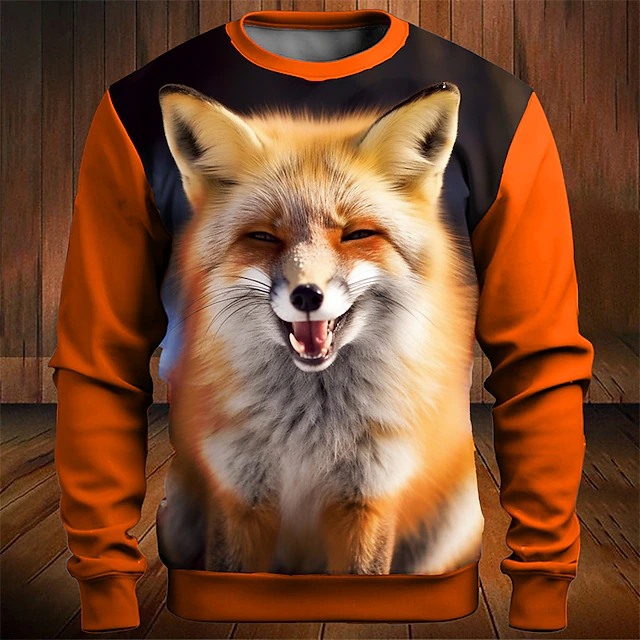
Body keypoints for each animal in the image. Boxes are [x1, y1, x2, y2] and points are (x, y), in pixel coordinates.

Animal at [154, 80, 484, 577]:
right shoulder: (239, 493)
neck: (310, 434)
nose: (307, 296)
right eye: (264, 237)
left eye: (356, 234)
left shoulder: (369, 498)